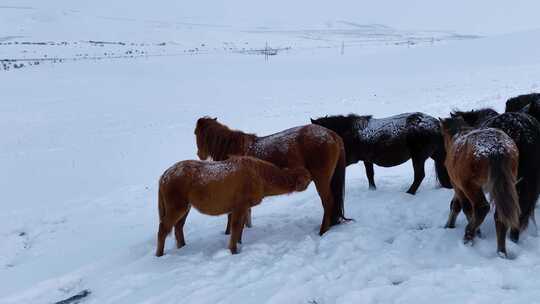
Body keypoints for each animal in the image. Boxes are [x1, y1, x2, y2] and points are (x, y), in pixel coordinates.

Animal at [154, 154, 310, 256]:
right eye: (307, 177)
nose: (312, 179)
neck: (261, 176)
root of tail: (164, 175)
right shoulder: (239, 206)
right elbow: (235, 228)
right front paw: (233, 250)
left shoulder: (244, 207)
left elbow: (240, 228)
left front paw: (239, 244)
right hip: (176, 206)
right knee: (163, 229)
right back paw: (160, 254)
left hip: (186, 206)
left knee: (178, 227)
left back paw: (183, 247)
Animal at [194, 116, 346, 235]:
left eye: (196, 133)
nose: (200, 155)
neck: (233, 149)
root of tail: (332, 134)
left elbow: (231, 216)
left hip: (321, 179)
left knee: (328, 202)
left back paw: (323, 231)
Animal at [310, 112, 454, 195]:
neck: (348, 133)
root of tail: (437, 124)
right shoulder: (367, 160)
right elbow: (370, 175)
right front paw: (372, 190)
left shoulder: (350, 160)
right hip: (435, 155)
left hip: (418, 157)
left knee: (419, 176)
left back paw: (409, 193)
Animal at [440, 117, 520, 258]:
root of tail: (496, 148)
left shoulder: (458, 186)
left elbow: (462, 207)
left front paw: (475, 232)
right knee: (499, 216)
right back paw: (501, 253)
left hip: (471, 186)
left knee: (481, 207)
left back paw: (468, 236)